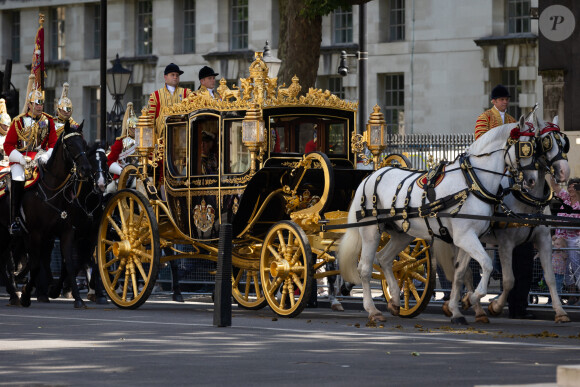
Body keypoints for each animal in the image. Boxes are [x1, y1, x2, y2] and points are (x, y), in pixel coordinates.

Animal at [338, 116, 536, 322]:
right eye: (525, 147)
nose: (531, 180)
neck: (472, 182)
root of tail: (371, 175)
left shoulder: (468, 238)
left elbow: (460, 273)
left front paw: (457, 309)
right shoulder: (465, 237)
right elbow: (486, 265)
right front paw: (473, 298)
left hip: (403, 234)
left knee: (385, 259)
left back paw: (394, 301)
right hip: (371, 231)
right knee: (365, 268)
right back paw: (373, 310)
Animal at [440, 115, 572, 324]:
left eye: (564, 142)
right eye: (545, 142)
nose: (564, 172)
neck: (528, 200)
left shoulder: (543, 240)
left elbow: (549, 277)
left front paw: (560, 312)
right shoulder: (505, 243)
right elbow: (509, 280)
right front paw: (495, 306)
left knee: (462, 272)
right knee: (466, 273)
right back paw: (471, 305)